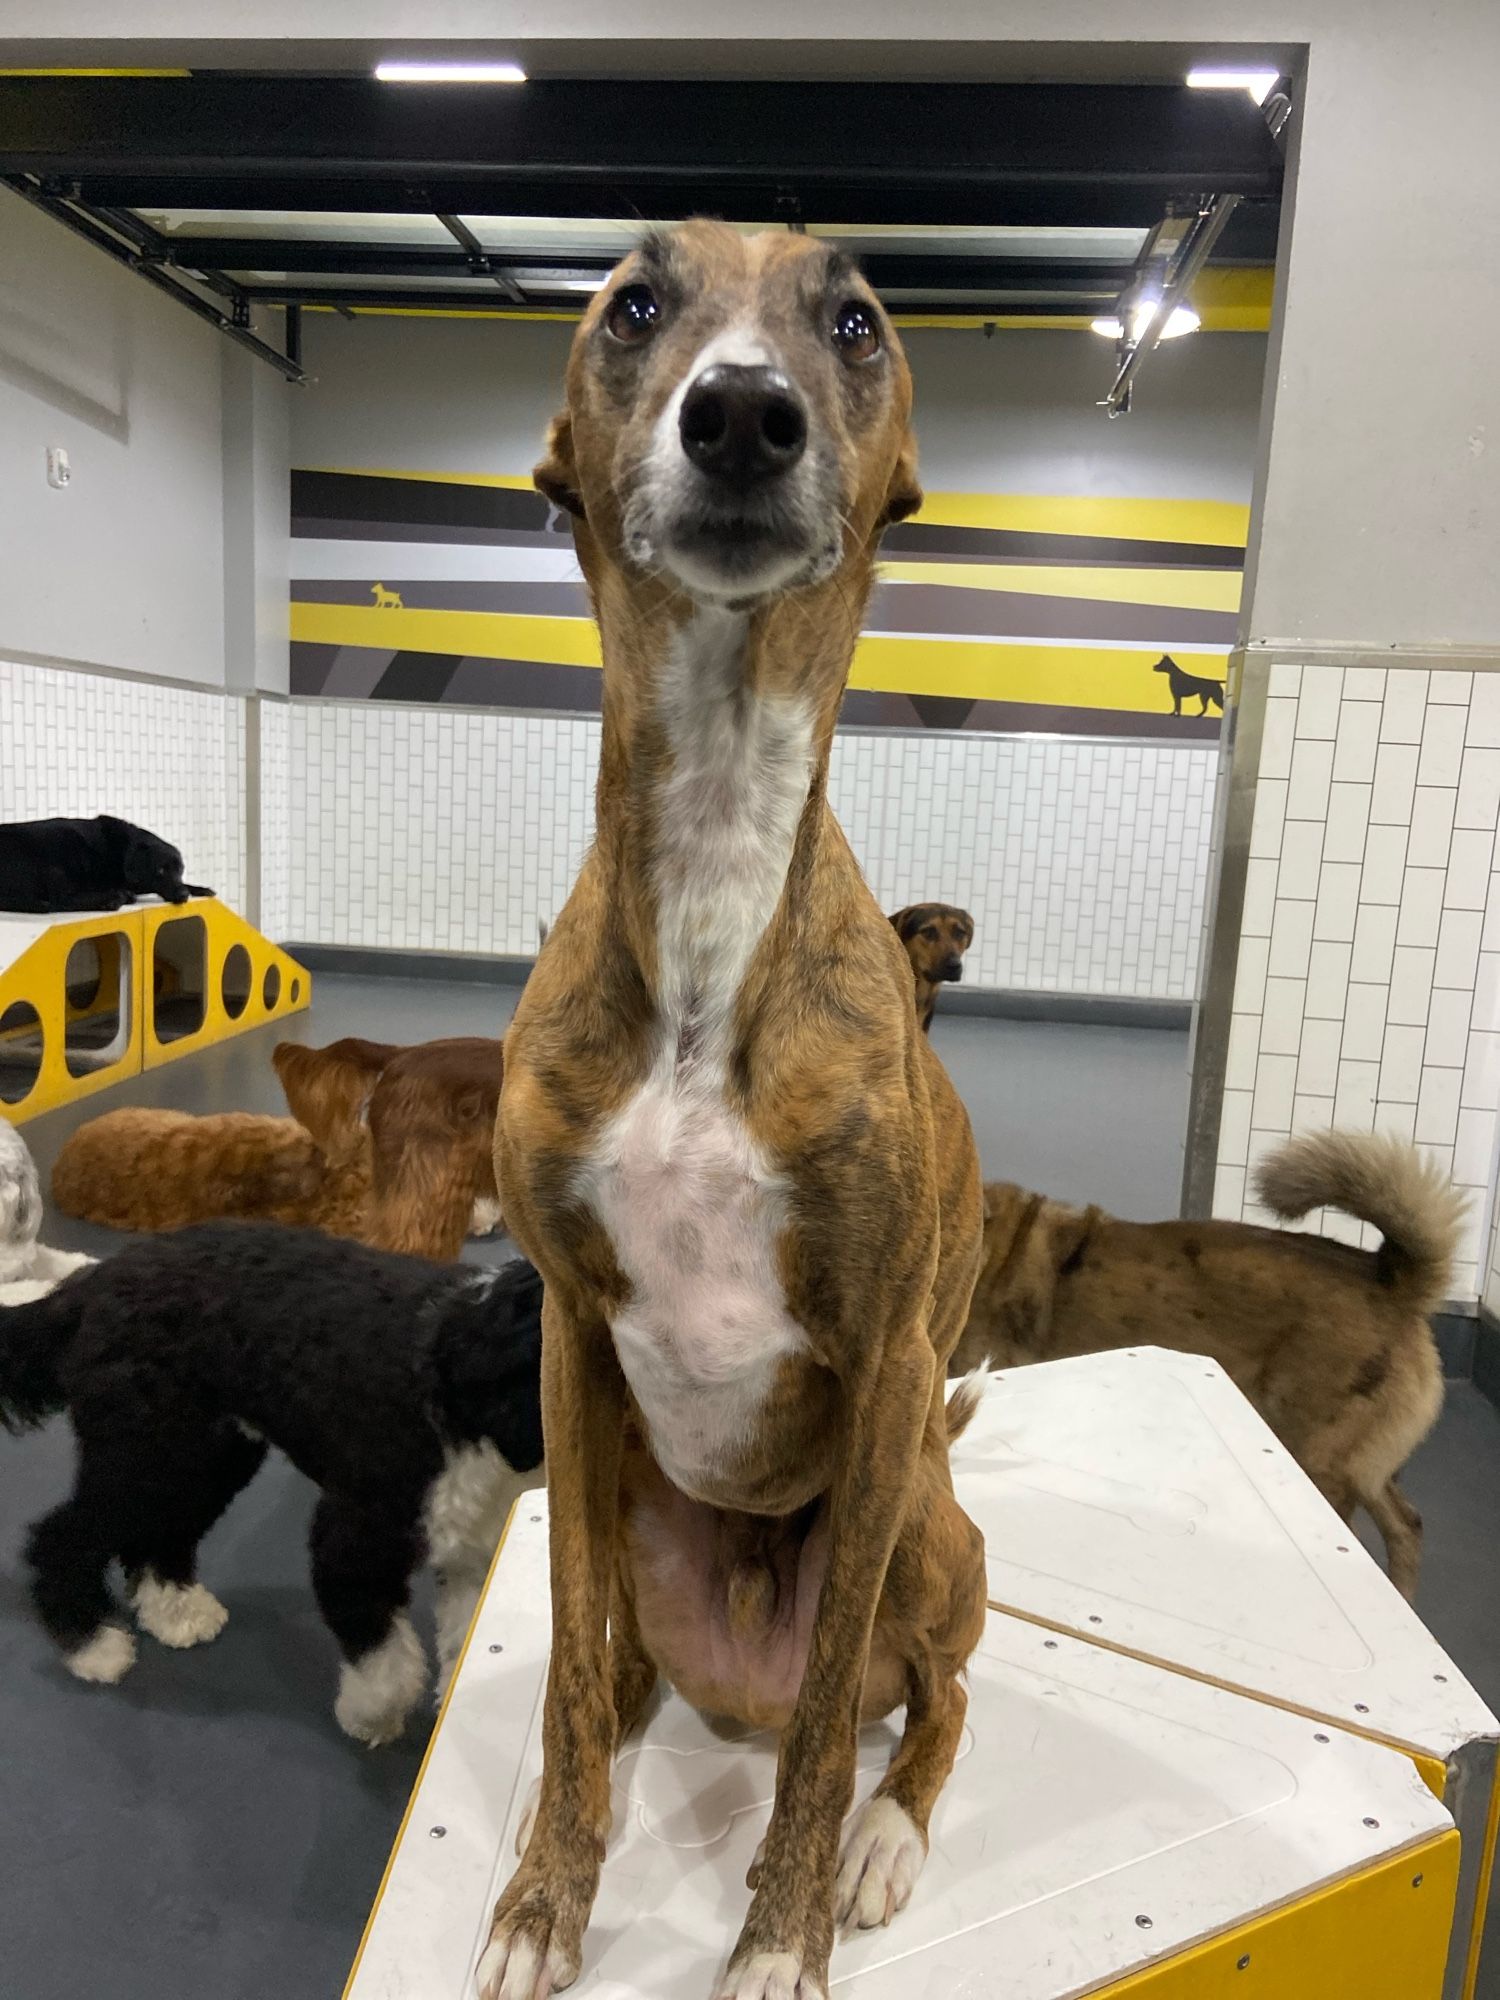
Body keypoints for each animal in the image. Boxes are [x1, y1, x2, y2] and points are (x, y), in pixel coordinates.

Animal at [0, 812, 214, 916]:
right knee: (60, 900)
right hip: (63, 853)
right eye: (160, 870)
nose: (183, 895)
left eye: (180, 870)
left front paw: (201, 888)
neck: (123, 850)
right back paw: (112, 899)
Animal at [2, 1208, 544, 1744]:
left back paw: (175, 1611)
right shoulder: (353, 1541)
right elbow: (386, 1665)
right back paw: (91, 1645)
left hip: (206, 1458)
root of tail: (101, 1277)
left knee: (158, 1539)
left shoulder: (475, 1550)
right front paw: (368, 1717)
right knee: (60, 1536)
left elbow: (466, 1640)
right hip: (142, 1456)